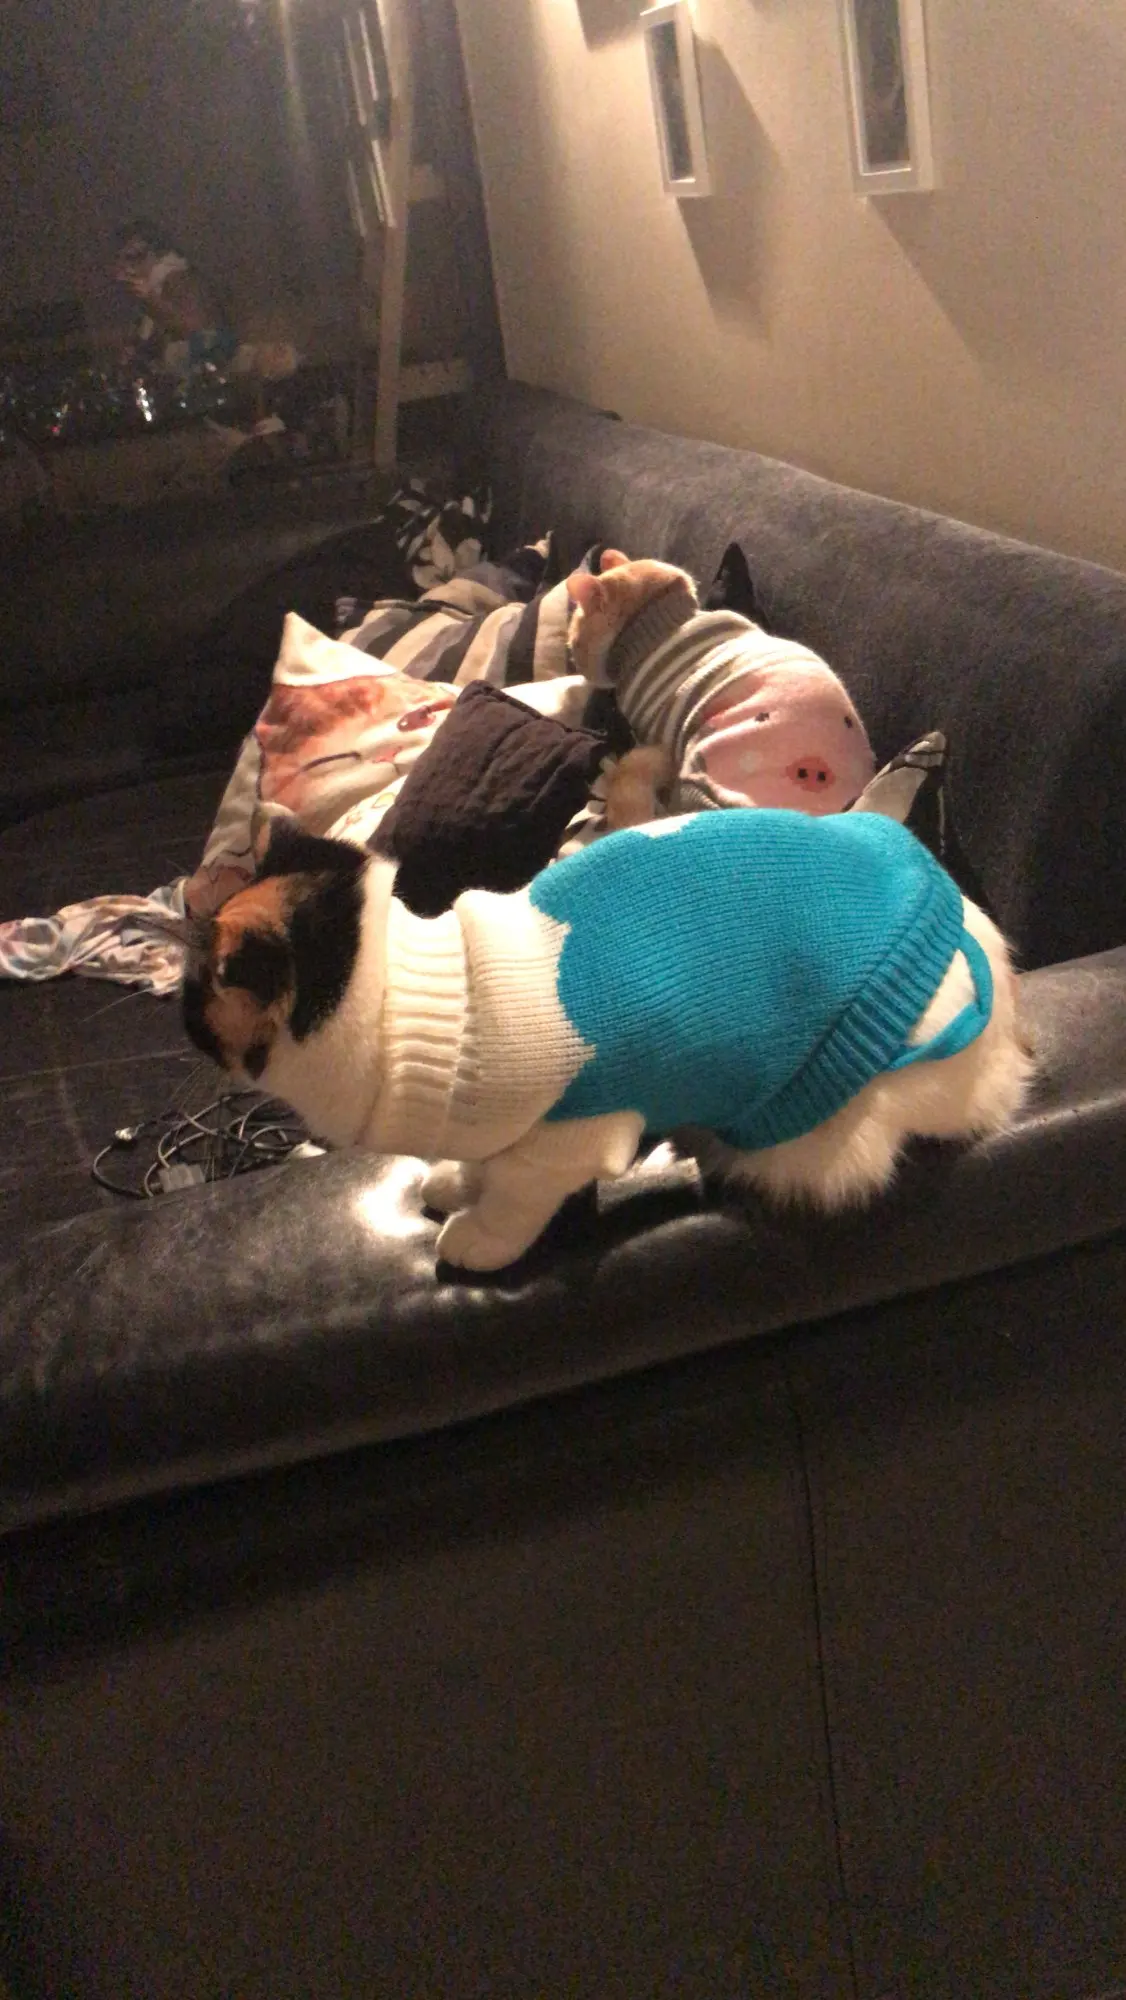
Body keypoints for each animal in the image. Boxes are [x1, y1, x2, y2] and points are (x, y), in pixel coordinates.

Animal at [177, 809, 1031, 1274]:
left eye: (195, 989)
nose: (179, 1011)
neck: (413, 1000)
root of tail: (950, 909)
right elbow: (479, 1164)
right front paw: (454, 1180)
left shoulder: (572, 1136)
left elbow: (515, 1197)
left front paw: (474, 1236)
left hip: (810, 1134)